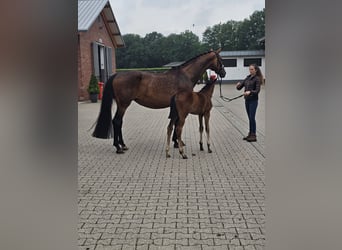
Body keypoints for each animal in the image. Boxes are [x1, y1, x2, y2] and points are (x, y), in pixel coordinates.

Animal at [91, 48, 224, 152]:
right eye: (221, 59)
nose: (223, 73)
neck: (185, 75)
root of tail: (117, 75)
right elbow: (177, 123)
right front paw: (177, 143)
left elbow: (174, 122)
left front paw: (176, 142)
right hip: (124, 104)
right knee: (117, 121)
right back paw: (119, 147)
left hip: (121, 105)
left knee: (119, 122)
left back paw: (122, 145)